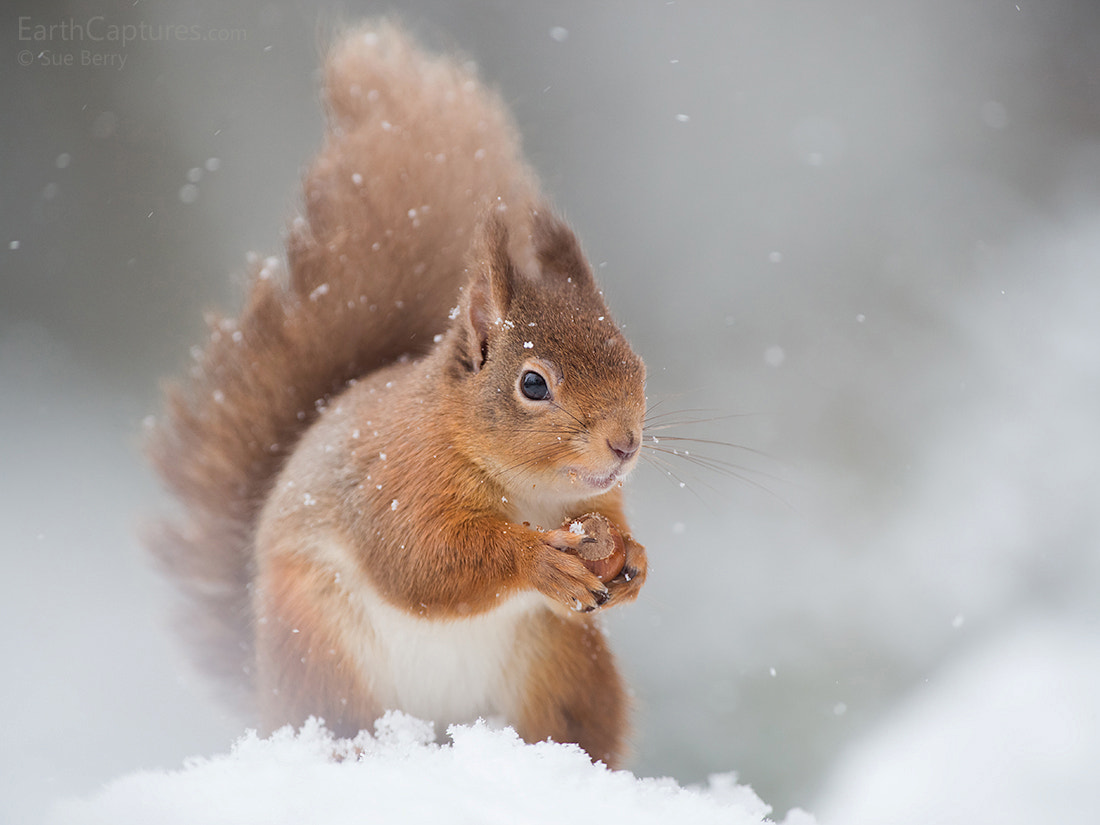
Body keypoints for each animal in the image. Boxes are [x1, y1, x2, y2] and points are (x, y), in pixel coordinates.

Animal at [147, 23, 648, 768]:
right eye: (533, 383)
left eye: (637, 362)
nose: (625, 444)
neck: (527, 490)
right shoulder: (396, 481)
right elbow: (424, 562)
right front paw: (534, 559)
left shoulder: (597, 501)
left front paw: (633, 558)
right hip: (319, 653)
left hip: (566, 663)